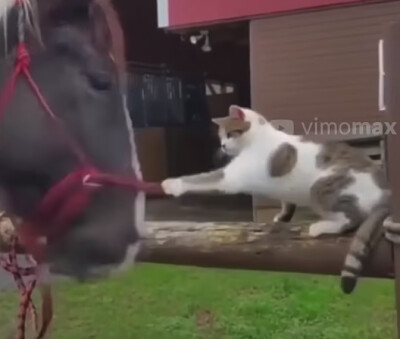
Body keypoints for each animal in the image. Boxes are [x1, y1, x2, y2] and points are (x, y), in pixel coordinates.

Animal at [160, 106, 394, 294]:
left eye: (229, 134)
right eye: (221, 137)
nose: (224, 146)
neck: (258, 138)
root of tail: (386, 191)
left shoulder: (231, 176)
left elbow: (201, 179)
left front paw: (172, 184)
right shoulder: (284, 193)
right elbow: (287, 204)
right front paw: (282, 218)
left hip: (320, 187)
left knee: (352, 218)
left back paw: (321, 227)